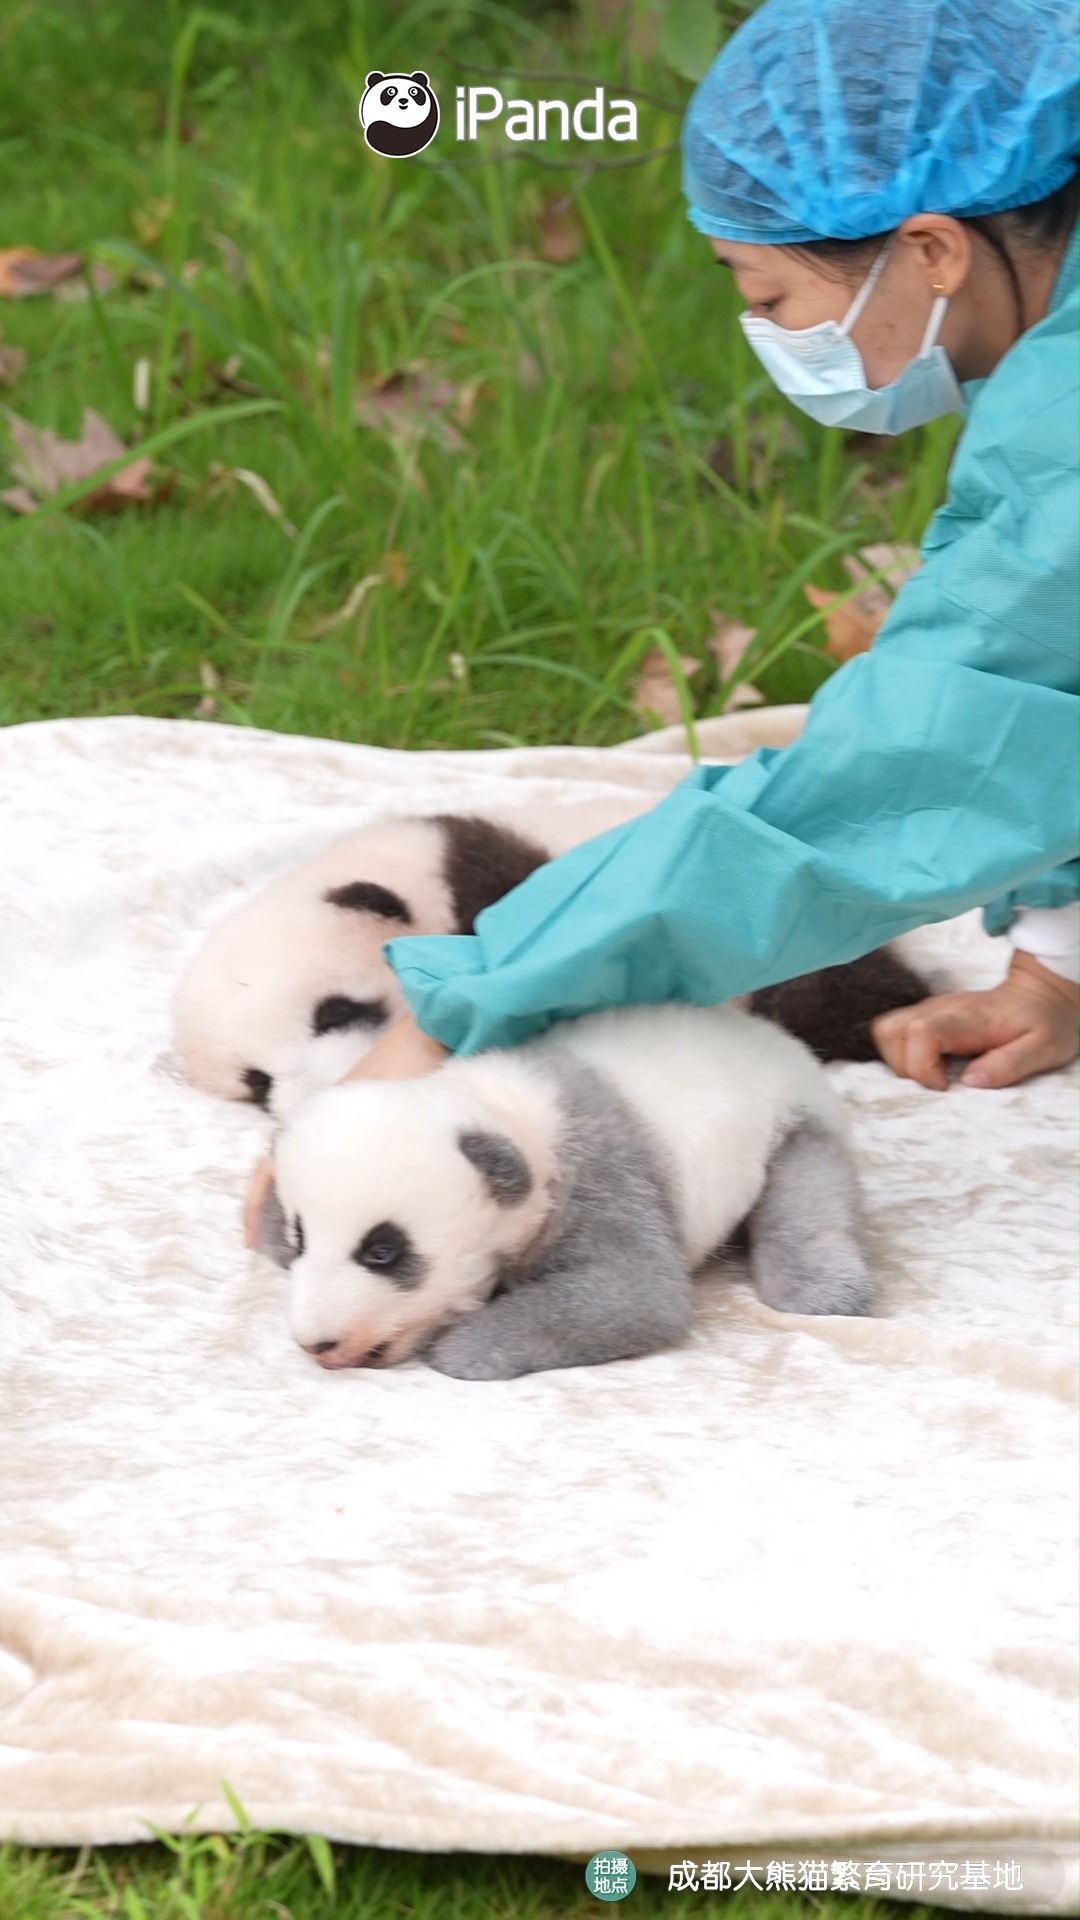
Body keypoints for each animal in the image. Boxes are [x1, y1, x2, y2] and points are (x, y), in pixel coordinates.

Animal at [256, 1000, 872, 1381]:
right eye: (303, 1237)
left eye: (382, 1252)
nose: (317, 1344)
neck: (500, 1108)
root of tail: (778, 1038)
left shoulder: (603, 1177)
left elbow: (634, 1296)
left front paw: (464, 1347)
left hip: (790, 1121)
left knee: (805, 1195)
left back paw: (825, 1288)